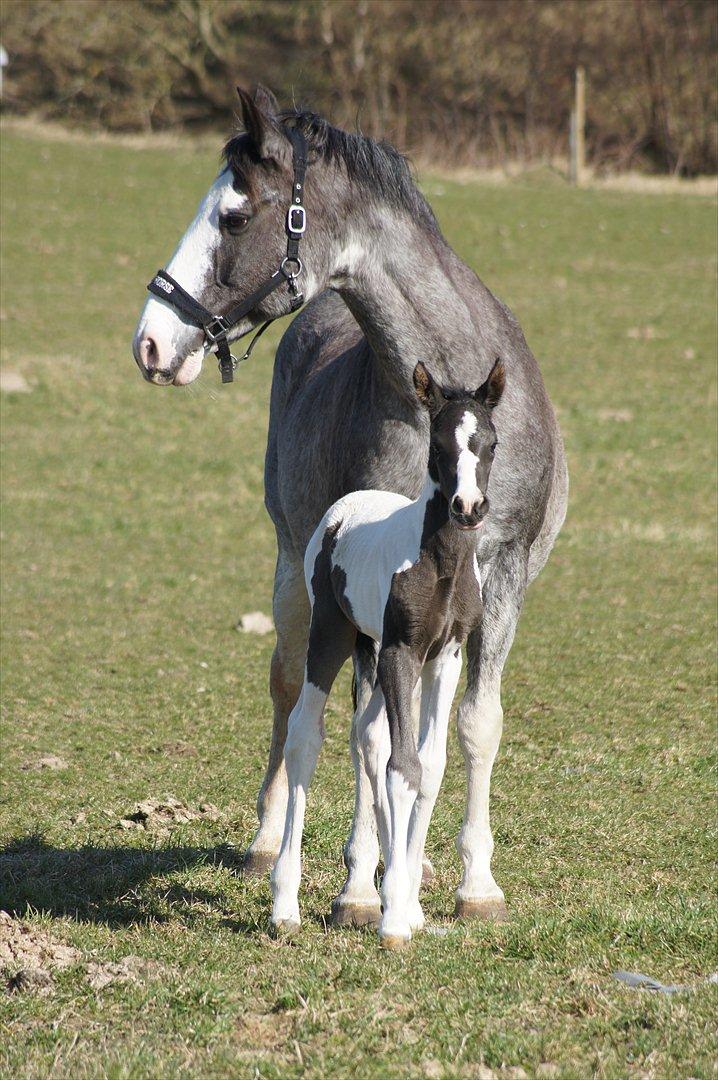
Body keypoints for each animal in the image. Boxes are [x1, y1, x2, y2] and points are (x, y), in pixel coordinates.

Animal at [269, 356, 503, 946]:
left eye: (489, 442)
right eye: (438, 442)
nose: (468, 508)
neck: (438, 565)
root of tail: (344, 509)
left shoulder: (445, 657)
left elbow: (430, 764)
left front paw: (407, 904)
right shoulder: (401, 651)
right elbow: (405, 766)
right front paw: (395, 916)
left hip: (368, 648)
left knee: (368, 738)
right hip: (332, 636)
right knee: (305, 737)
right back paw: (285, 904)